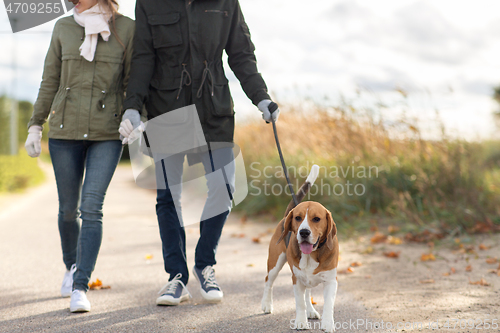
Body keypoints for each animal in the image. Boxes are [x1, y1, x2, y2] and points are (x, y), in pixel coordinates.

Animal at [262, 165, 340, 330]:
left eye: (316, 219)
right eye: (298, 218)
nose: (304, 232)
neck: (312, 255)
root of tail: (285, 216)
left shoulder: (331, 281)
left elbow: (328, 304)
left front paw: (328, 324)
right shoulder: (296, 279)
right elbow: (299, 303)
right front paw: (301, 322)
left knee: (307, 293)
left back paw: (311, 310)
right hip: (275, 263)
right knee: (268, 281)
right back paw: (266, 304)